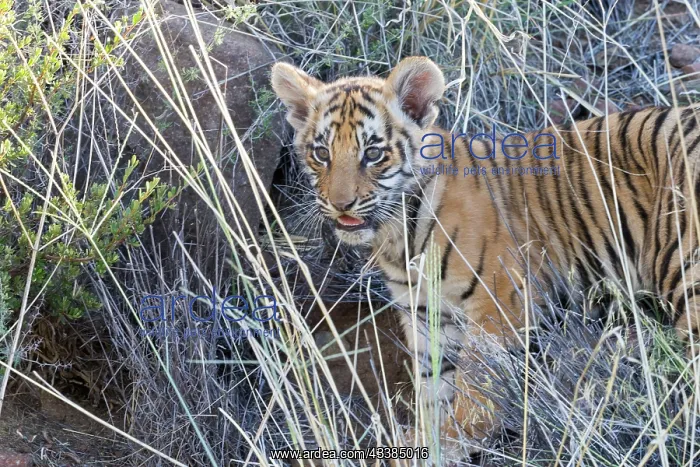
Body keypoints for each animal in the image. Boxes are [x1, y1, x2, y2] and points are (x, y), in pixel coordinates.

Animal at [271, 56, 700, 458]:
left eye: (373, 153)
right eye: (321, 153)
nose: (341, 205)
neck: (399, 236)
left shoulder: (499, 305)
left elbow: (477, 382)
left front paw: (460, 436)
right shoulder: (426, 313)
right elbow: (433, 383)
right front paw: (427, 442)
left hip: (686, 273)